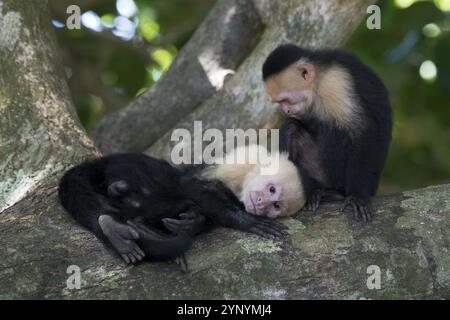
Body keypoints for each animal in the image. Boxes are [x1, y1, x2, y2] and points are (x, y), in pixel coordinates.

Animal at [262, 44, 392, 222]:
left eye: (285, 100)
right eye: (280, 102)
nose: (286, 110)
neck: (317, 79)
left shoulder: (335, 83)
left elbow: (361, 131)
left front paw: (357, 194)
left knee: (334, 126)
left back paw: (336, 194)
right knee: (291, 127)